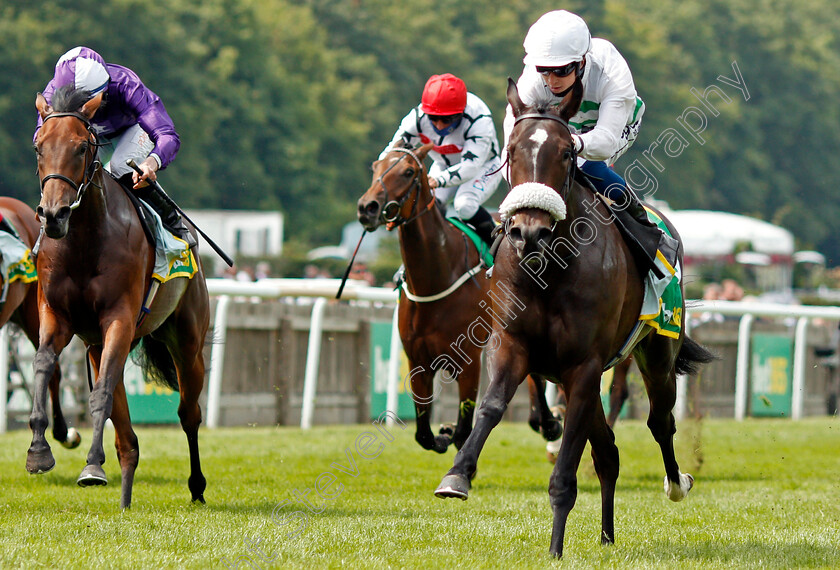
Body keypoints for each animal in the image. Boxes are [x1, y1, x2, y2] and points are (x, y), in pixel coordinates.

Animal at [32, 86, 210, 508]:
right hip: (98, 345)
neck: (83, 241)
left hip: (187, 341)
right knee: (126, 435)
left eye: (82, 147)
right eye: (39, 147)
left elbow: (100, 395)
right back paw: (123, 494)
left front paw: (91, 464)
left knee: (189, 413)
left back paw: (196, 487)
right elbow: (44, 365)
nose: (54, 215)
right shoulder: (56, 316)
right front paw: (39, 451)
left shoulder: (119, 318)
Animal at [354, 143, 556, 452]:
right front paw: (441, 434)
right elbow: (423, 433)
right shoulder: (417, 361)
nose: (368, 207)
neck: (436, 279)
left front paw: (450, 433)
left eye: (408, 171)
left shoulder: (469, 360)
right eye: (376, 167)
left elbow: (463, 430)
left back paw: (549, 422)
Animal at [436, 81, 712, 556]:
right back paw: (606, 535)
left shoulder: (584, 365)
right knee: (608, 454)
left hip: (655, 353)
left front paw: (555, 548)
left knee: (660, 422)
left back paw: (677, 483)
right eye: (511, 150)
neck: (549, 268)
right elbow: (492, 406)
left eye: (567, 152)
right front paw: (457, 475)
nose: (528, 231)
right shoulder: (512, 346)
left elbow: (565, 469)